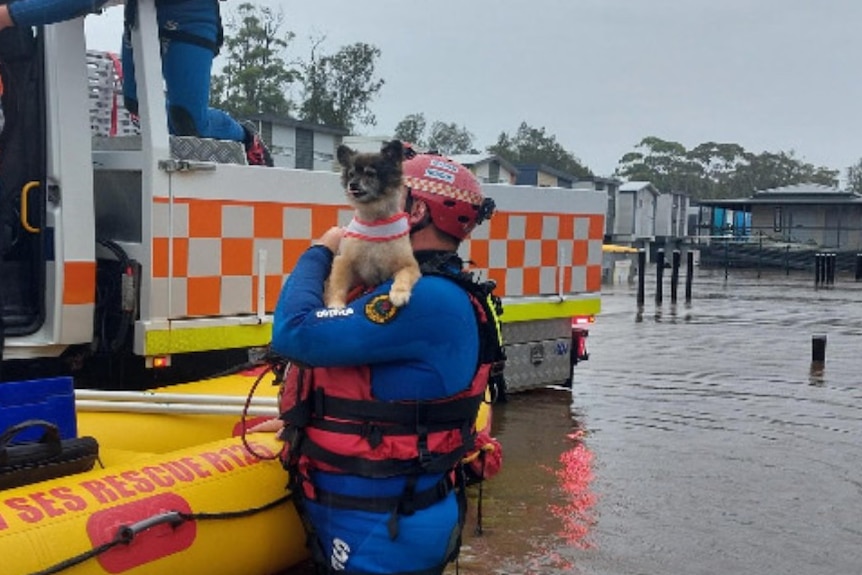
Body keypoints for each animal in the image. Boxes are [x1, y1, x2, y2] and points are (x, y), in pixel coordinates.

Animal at [328, 140, 422, 310]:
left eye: (370, 174)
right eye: (351, 174)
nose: (352, 184)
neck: (375, 222)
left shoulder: (408, 265)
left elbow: (404, 276)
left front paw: (399, 293)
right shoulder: (343, 261)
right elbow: (337, 287)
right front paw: (335, 305)